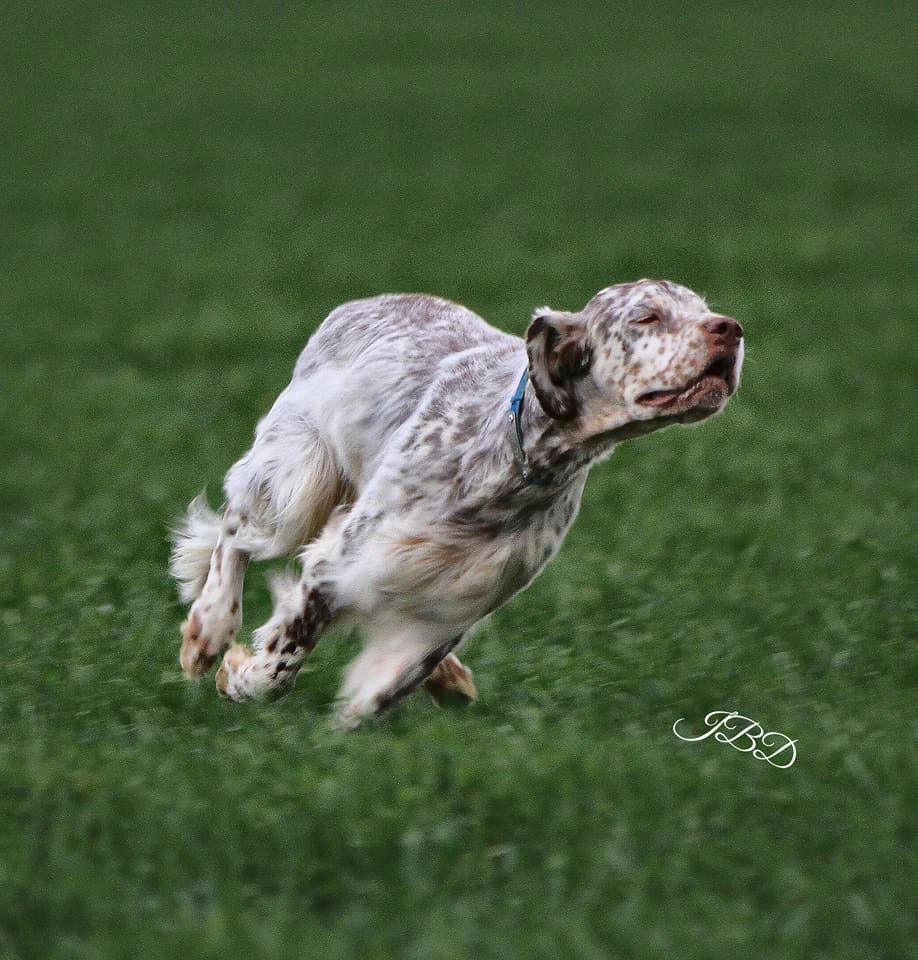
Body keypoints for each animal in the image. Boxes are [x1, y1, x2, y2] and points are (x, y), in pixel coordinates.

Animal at [172, 282, 744, 724]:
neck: (512, 460)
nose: (731, 328)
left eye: (701, 307)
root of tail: (356, 305)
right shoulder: (344, 561)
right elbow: (284, 656)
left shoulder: (461, 601)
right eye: (647, 316)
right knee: (232, 531)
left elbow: (389, 683)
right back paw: (208, 632)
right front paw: (239, 677)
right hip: (296, 479)